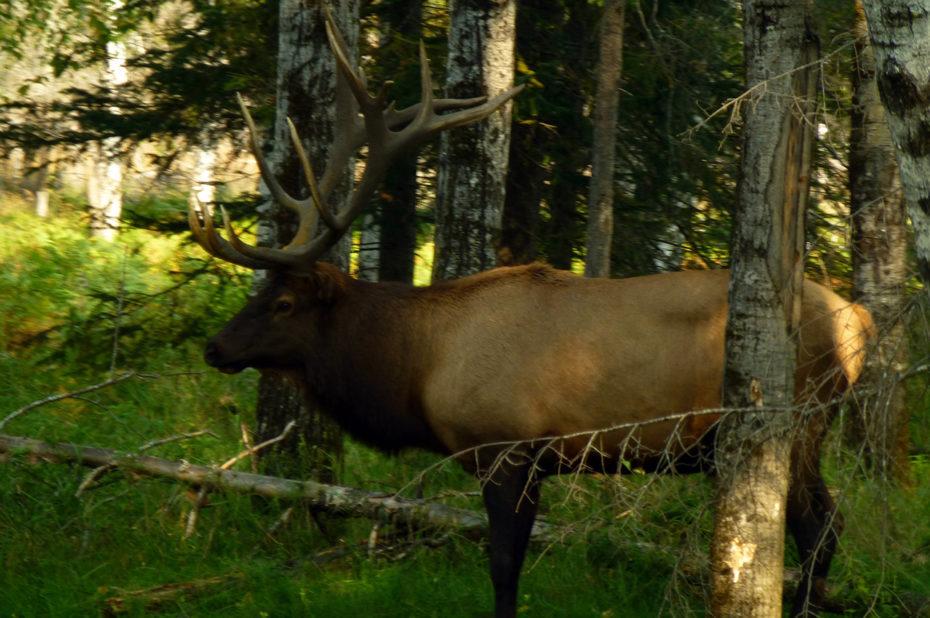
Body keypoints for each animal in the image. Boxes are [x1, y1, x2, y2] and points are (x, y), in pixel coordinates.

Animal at [188, 13, 872, 616]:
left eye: (282, 303)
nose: (214, 347)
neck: (420, 369)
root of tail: (858, 321)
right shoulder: (538, 461)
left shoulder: (506, 447)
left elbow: (503, 567)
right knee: (828, 528)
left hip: (799, 418)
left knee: (823, 530)